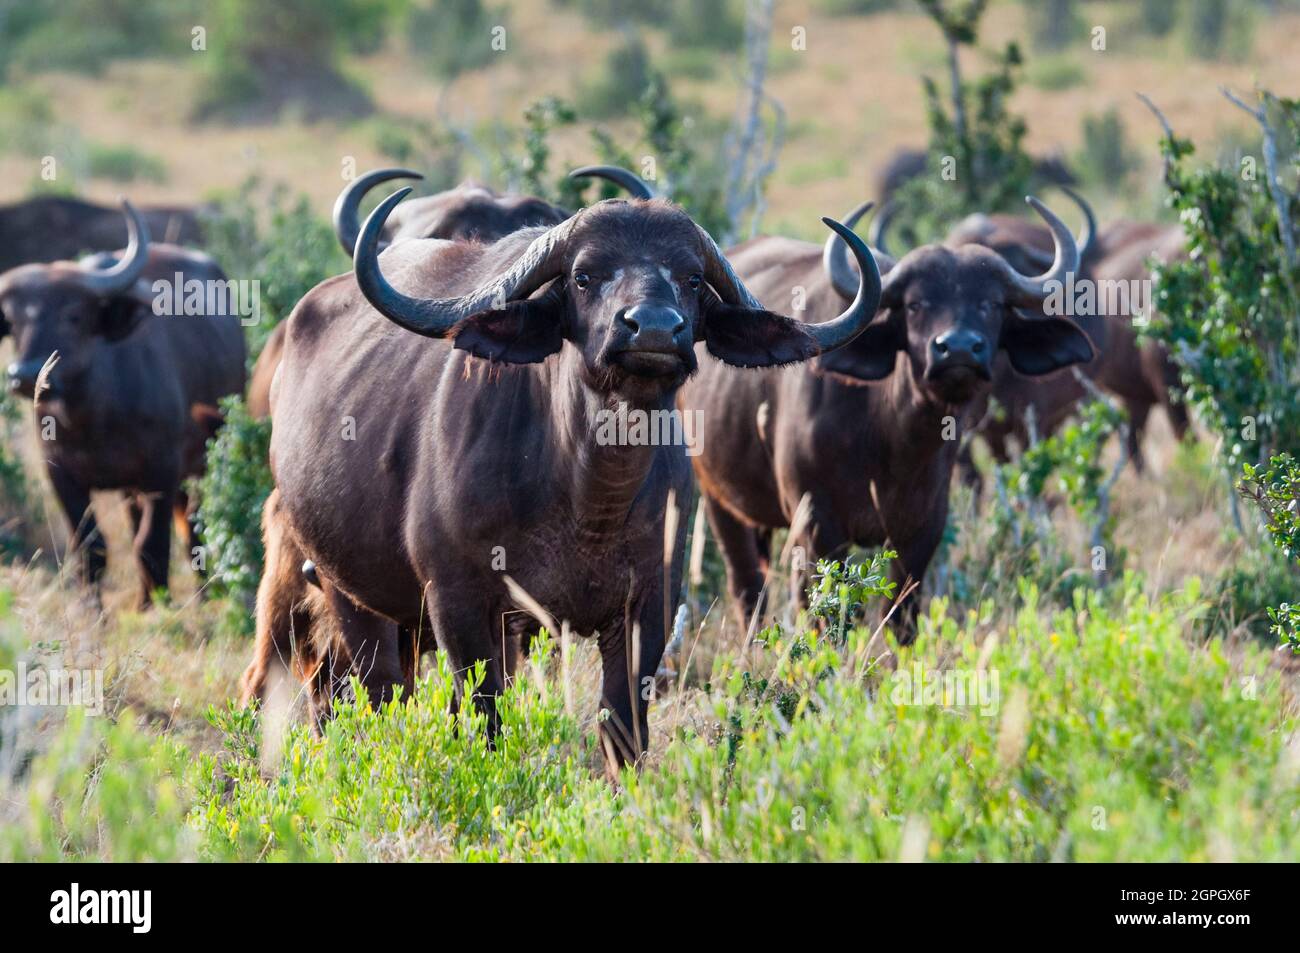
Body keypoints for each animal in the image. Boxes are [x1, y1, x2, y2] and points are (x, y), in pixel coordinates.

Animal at [0, 202, 245, 603]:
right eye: (14, 320)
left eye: (73, 315)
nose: (26, 374)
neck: (93, 417)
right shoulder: (60, 472)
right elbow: (91, 548)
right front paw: (94, 610)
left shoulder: (163, 470)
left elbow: (152, 545)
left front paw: (157, 606)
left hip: (205, 455)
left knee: (193, 528)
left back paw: (205, 593)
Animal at [244, 189, 883, 769]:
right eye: (583, 275)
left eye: (693, 278)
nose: (653, 329)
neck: (588, 497)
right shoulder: (460, 603)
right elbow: (485, 716)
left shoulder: (647, 607)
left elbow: (622, 726)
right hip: (345, 592)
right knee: (376, 693)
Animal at [681, 196, 1097, 634]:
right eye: (915, 305)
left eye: (992, 304)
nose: (958, 349)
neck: (890, 442)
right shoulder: (816, 528)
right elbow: (822, 617)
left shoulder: (922, 531)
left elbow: (901, 618)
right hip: (719, 501)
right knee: (748, 588)